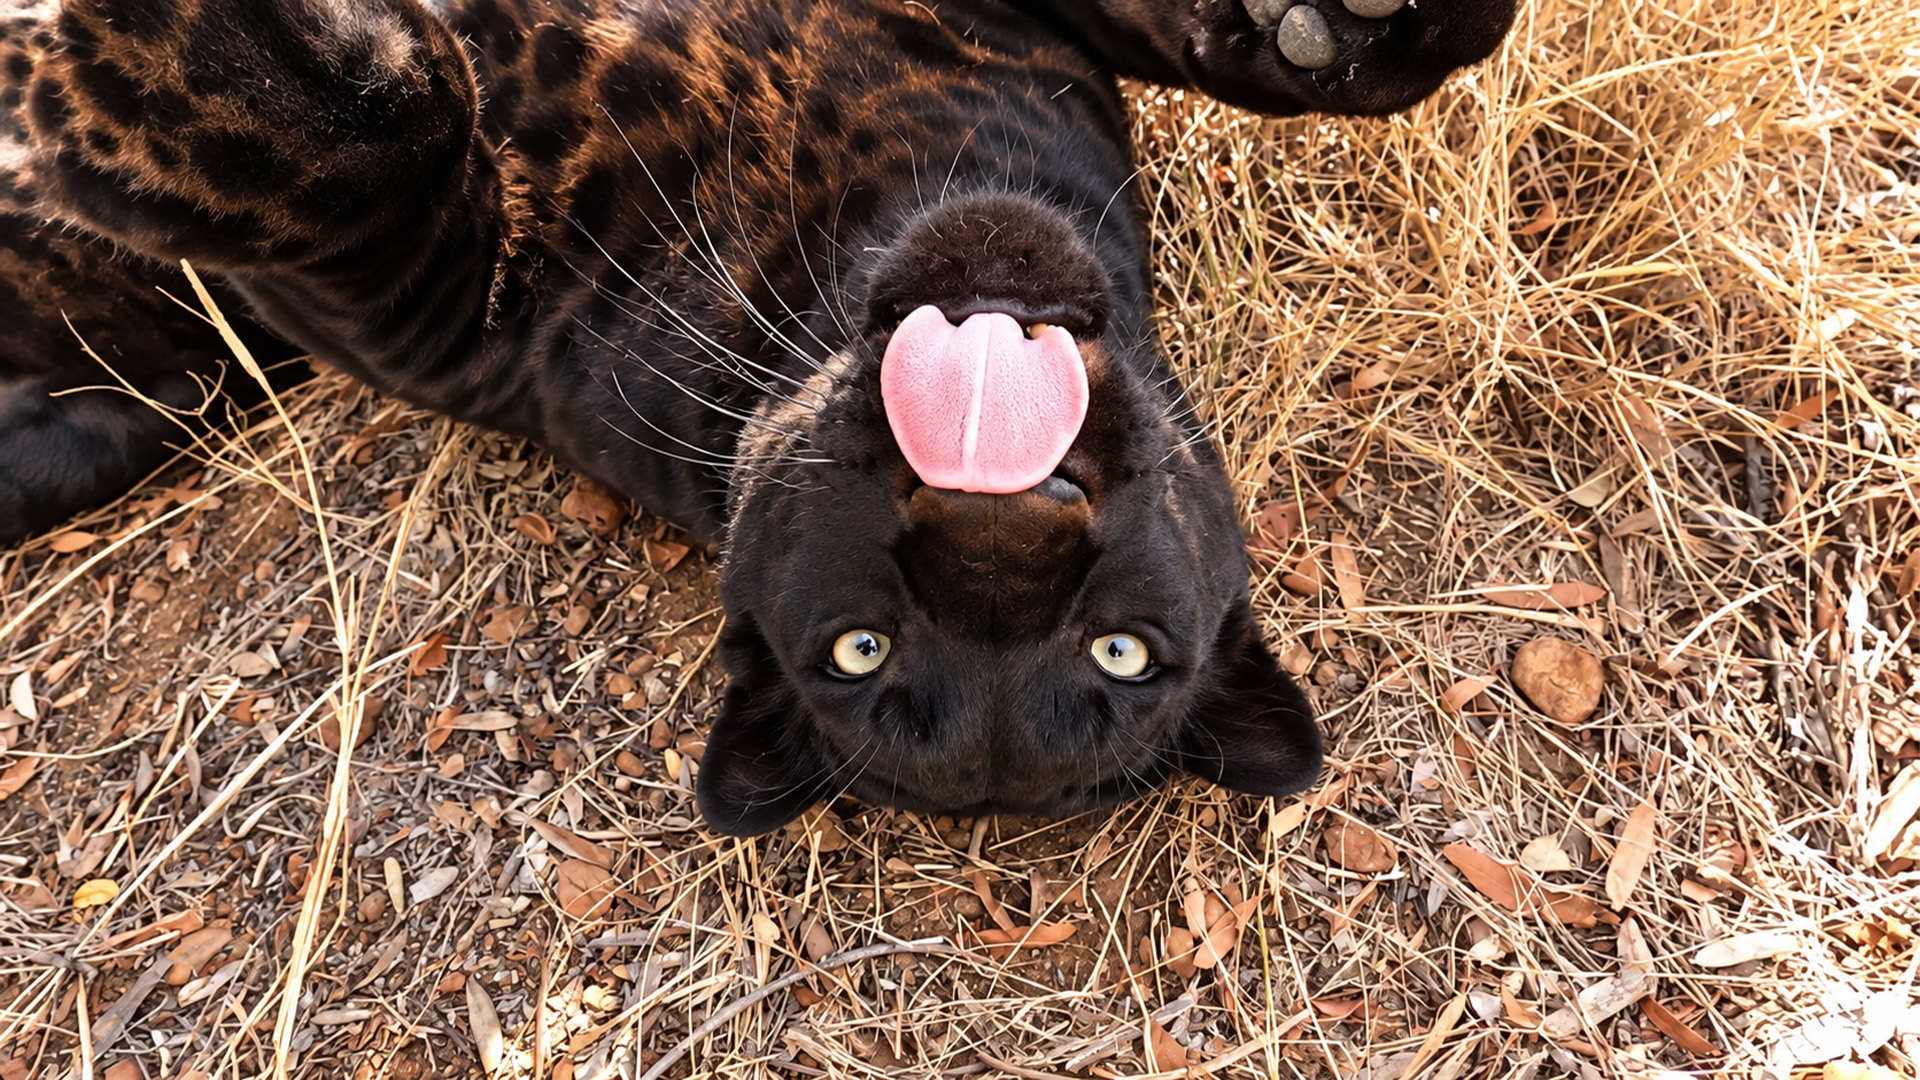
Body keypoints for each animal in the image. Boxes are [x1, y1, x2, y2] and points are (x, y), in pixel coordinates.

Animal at [0, 0, 1516, 834]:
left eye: (1122, 652)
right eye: (859, 645)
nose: (995, 510)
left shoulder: (434, 308)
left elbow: (357, 152)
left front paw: (105, 70)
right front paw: (1349, 25)